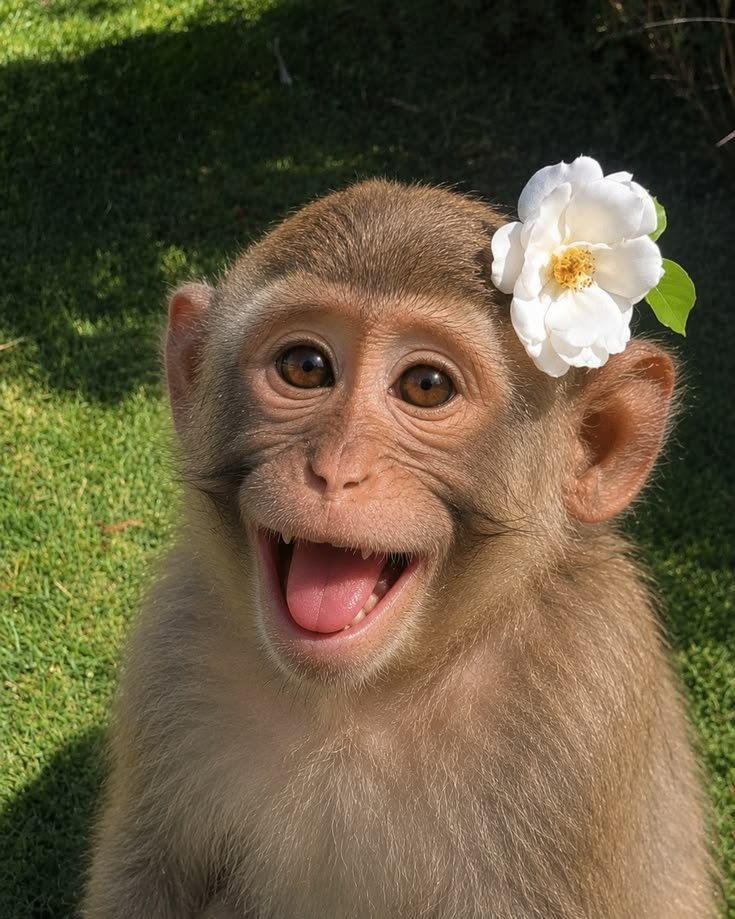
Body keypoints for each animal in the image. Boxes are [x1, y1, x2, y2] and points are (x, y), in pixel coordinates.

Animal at [83, 179, 716, 919]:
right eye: (305, 367)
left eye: (426, 386)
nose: (336, 469)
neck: (359, 697)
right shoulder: (172, 647)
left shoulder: (585, 703)